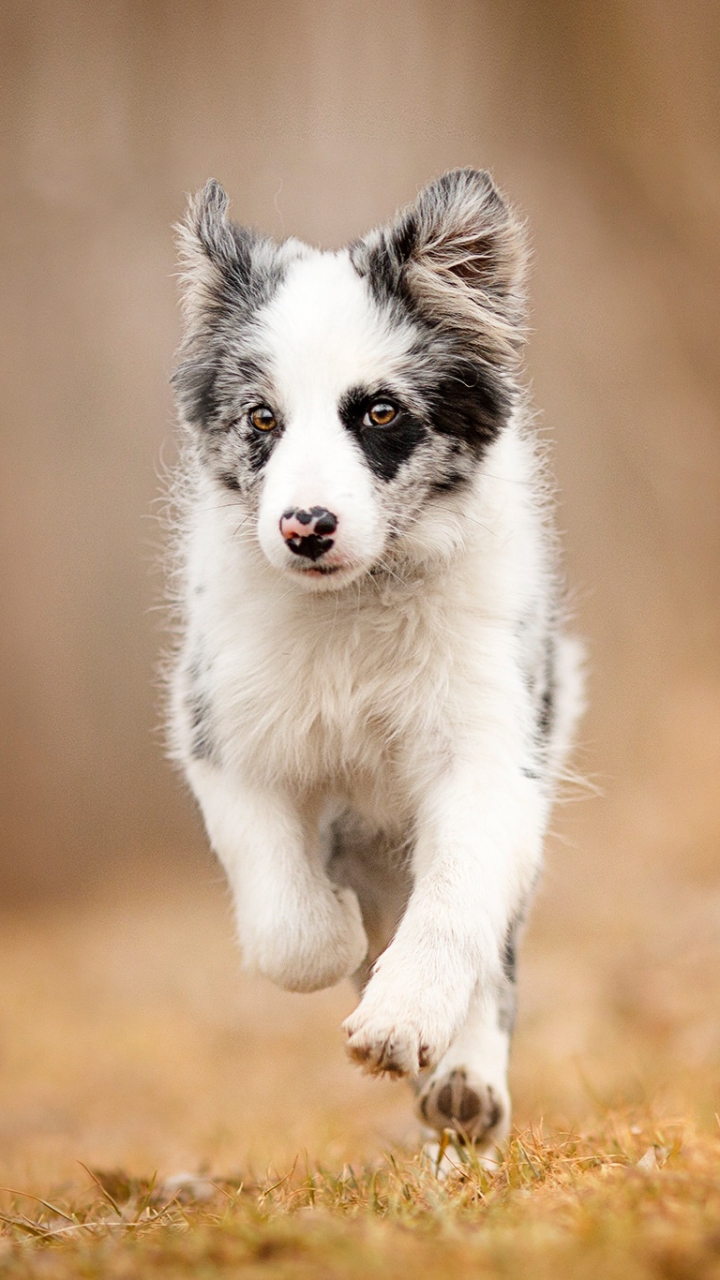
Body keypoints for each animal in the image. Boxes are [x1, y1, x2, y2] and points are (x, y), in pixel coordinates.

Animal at [167, 165, 584, 1157]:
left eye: (381, 412)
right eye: (262, 418)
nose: (304, 528)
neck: (352, 611)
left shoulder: (491, 752)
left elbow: (455, 903)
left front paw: (402, 1021)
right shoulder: (218, 728)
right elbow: (287, 926)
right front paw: (335, 944)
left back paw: (464, 1084)